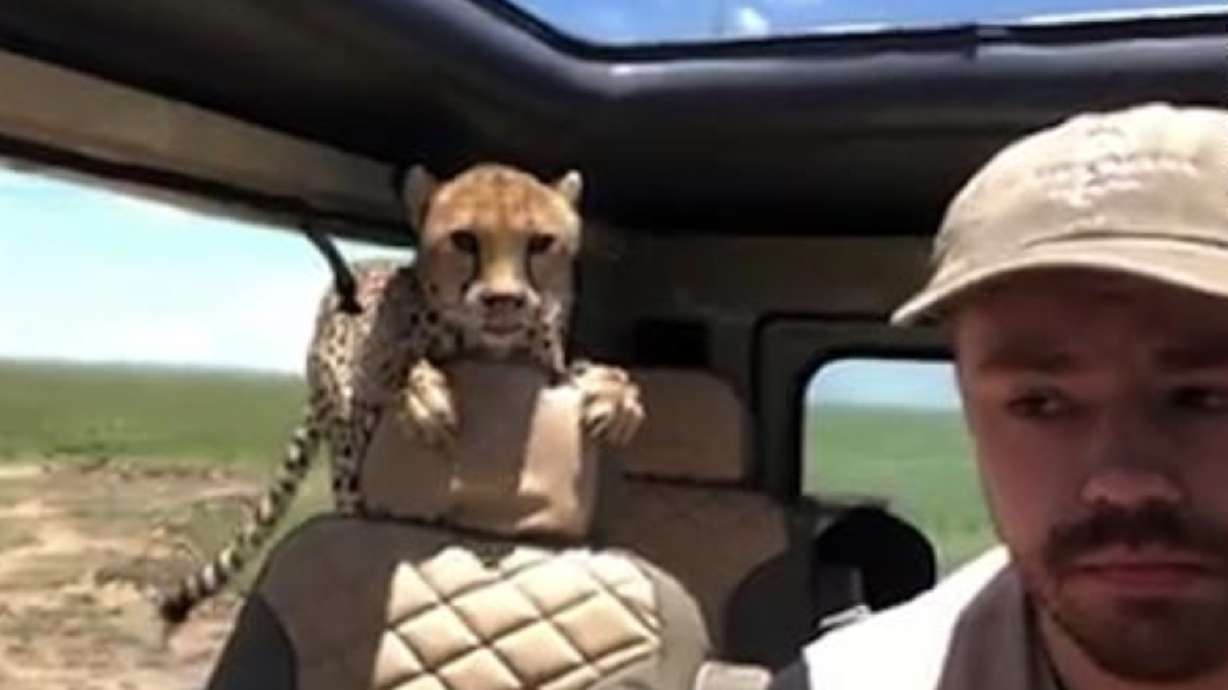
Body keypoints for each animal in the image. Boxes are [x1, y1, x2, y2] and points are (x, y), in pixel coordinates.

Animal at [154, 163, 644, 628]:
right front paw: (421, 396)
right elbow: (393, 374)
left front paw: (616, 397)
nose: (503, 300)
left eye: (541, 243)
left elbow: (586, 375)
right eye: (464, 240)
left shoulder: (548, 368)